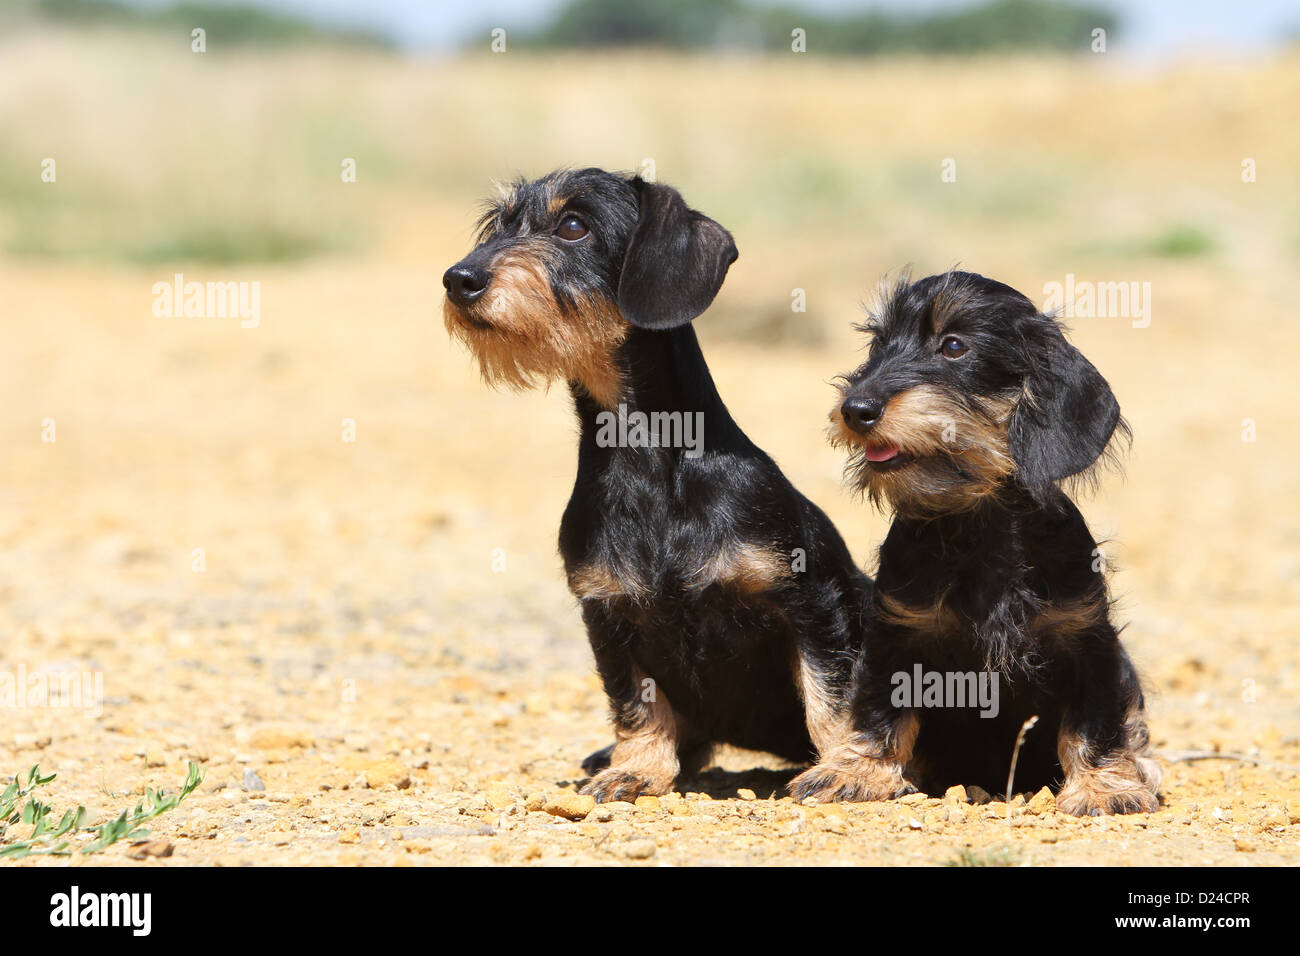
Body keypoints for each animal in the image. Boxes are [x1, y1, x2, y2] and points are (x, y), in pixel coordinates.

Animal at [439, 170, 873, 801]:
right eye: (500, 225)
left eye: (574, 226)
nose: (458, 280)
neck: (645, 461)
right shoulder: (607, 612)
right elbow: (634, 702)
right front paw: (636, 769)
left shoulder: (812, 600)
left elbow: (831, 697)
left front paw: (848, 768)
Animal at [790, 269, 1159, 816]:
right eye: (879, 344)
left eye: (954, 346)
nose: (855, 409)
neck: (979, 524)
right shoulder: (896, 637)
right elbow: (879, 711)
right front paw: (855, 771)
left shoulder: (1087, 639)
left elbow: (1093, 722)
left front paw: (1105, 787)